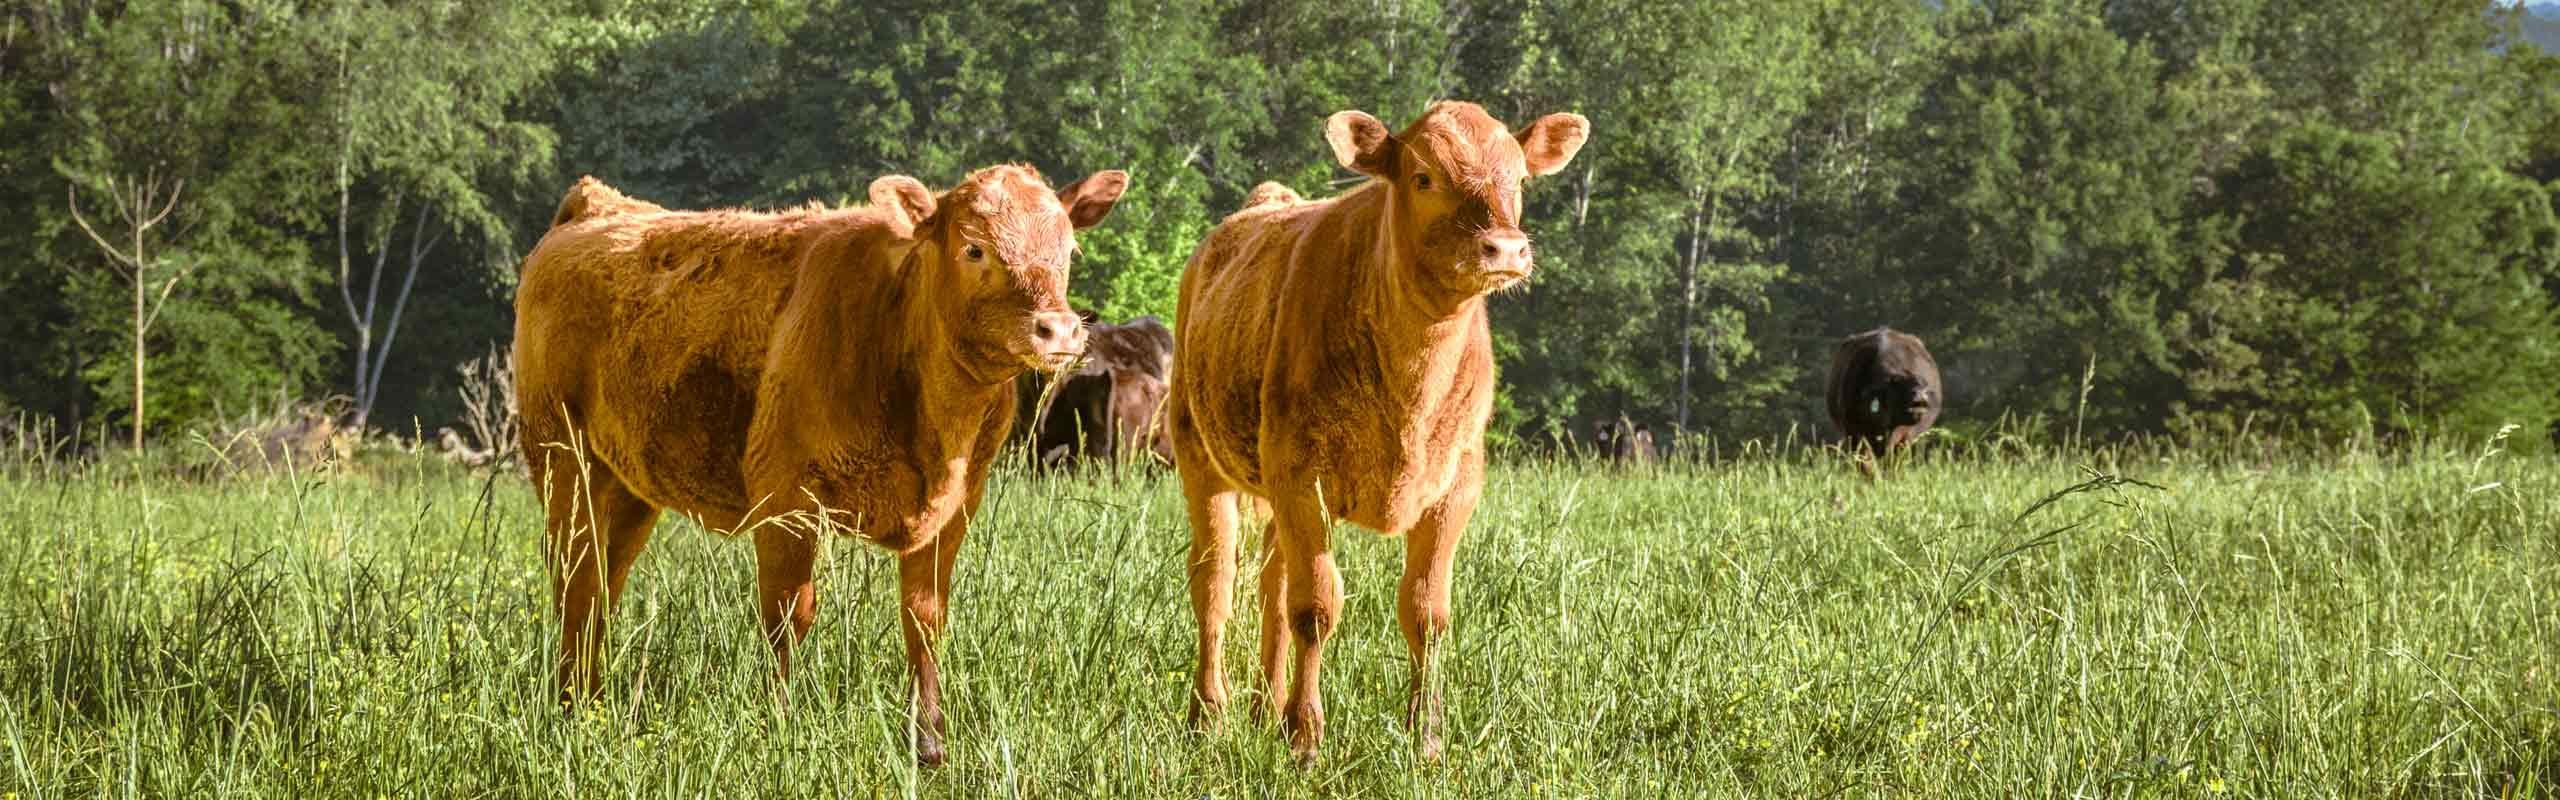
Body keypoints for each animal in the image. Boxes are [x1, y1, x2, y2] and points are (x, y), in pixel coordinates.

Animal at [512, 165, 1126, 767]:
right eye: (974, 248)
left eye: (1069, 250)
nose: (1059, 329)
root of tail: (599, 204)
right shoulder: (786, 502)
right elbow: (790, 615)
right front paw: (779, 726)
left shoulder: (955, 509)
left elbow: (925, 618)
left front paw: (930, 744)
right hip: (563, 462)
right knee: (575, 581)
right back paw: (570, 708)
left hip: (628, 484)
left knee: (602, 585)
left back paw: (591, 701)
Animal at [1166, 101, 1588, 762]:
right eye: (1423, 178)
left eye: (1520, 179)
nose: (1505, 248)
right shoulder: (1302, 475)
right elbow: (1316, 606)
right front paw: (1305, 736)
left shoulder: (1455, 485)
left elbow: (1425, 612)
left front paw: (1427, 740)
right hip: (1199, 453)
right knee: (1215, 581)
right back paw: (1209, 714)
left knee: (1270, 585)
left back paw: (1265, 708)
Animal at [1826, 326, 1943, 475]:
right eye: (1897, 384)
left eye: (1921, 383)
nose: (1920, 394)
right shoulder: (1853, 433)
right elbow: (1865, 464)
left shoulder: (1905, 437)